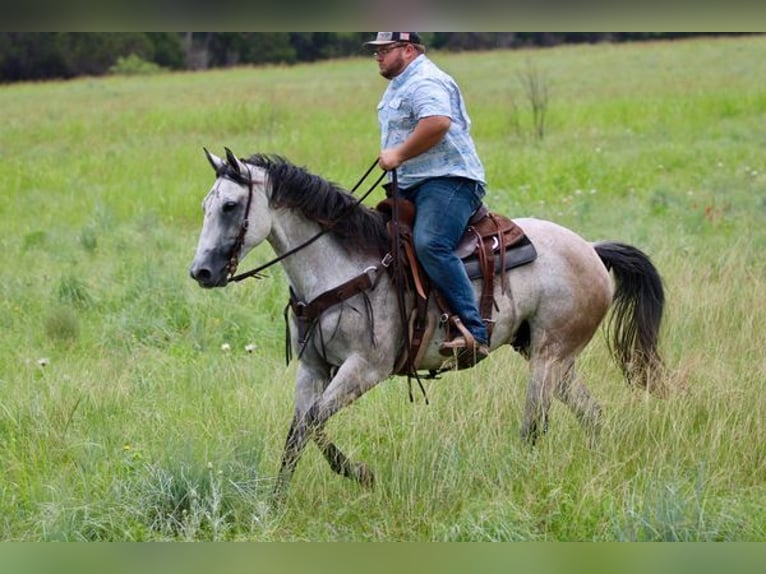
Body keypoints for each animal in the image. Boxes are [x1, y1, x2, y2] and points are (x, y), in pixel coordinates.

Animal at [189, 149, 665, 499]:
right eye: (206, 206)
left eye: (230, 205)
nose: (201, 272)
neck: (342, 269)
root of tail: (590, 248)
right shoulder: (313, 368)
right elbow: (301, 429)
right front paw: (276, 500)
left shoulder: (365, 369)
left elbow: (313, 422)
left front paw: (361, 474)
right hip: (551, 357)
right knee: (591, 413)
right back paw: (596, 461)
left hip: (548, 356)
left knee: (536, 425)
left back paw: (523, 473)